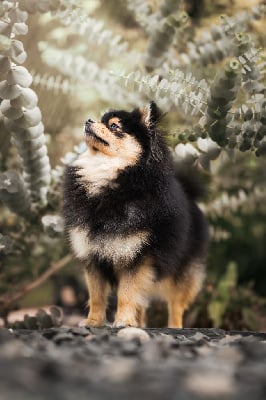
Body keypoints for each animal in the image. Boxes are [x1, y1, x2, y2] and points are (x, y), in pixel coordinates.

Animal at [62, 102, 208, 328]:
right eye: (101, 120)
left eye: (114, 126)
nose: (88, 120)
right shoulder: (93, 257)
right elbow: (96, 296)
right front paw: (93, 321)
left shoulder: (135, 257)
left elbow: (127, 293)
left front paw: (122, 321)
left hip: (182, 273)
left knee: (176, 305)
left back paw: (173, 326)